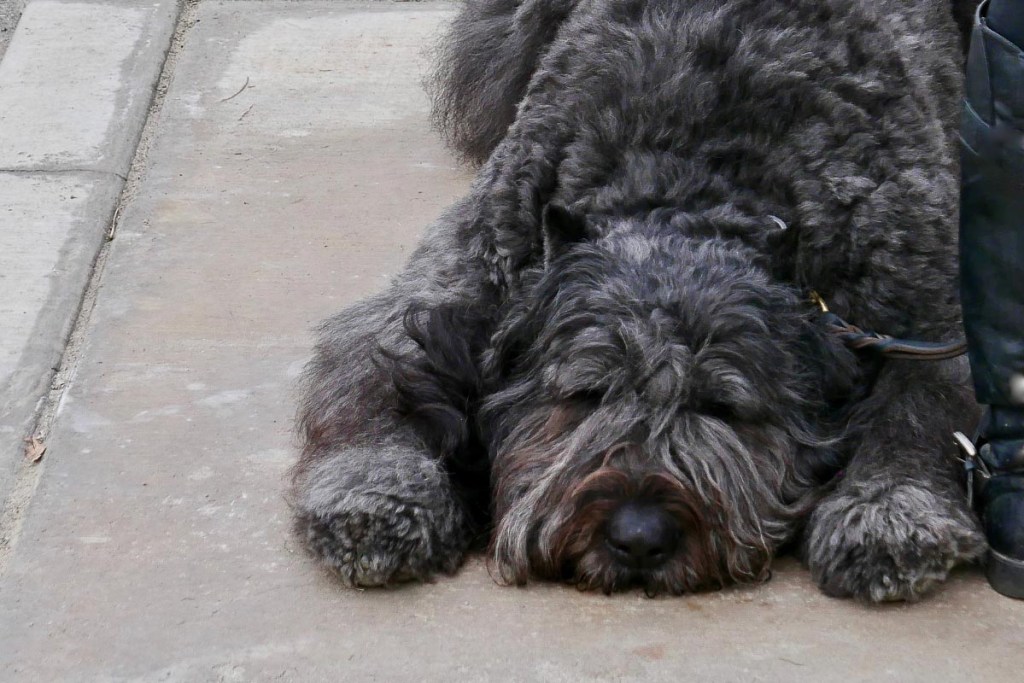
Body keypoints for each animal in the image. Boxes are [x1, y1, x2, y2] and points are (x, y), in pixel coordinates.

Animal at [288, 0, 983, 602]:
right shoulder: (458, 283)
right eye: (586, 395)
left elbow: (920, 408)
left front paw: (888, 512)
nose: (639, 537)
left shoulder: (924, 318)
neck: (691, 179)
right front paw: (376, 498)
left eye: (723, 407)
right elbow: (378, 376)